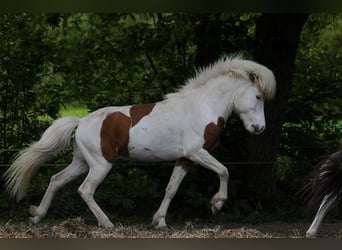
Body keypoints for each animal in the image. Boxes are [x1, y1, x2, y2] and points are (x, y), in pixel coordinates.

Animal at [4, 56, 276, 229]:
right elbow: (224, 170)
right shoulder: (197, 152)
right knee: (85, 190)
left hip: (81, 162)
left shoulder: (185, 158)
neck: (202, 106)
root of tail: (80, 122)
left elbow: (171, 189)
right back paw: (107, 223)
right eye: (258, 96)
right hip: (101, 164)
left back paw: (36, 216)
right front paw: (216, 205)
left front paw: (160, 221)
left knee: (56, 180)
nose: (260, 129)